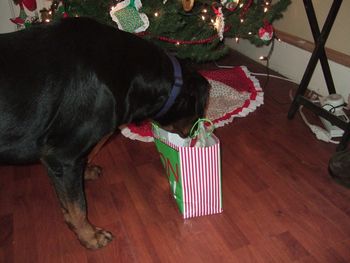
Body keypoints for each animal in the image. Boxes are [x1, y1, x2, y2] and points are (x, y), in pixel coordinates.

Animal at [0, 18, 208, 250]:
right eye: (200, 110)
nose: (195, 133)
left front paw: (85, 173)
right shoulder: (62, 156)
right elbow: (78, 208)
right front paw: (90, 236)